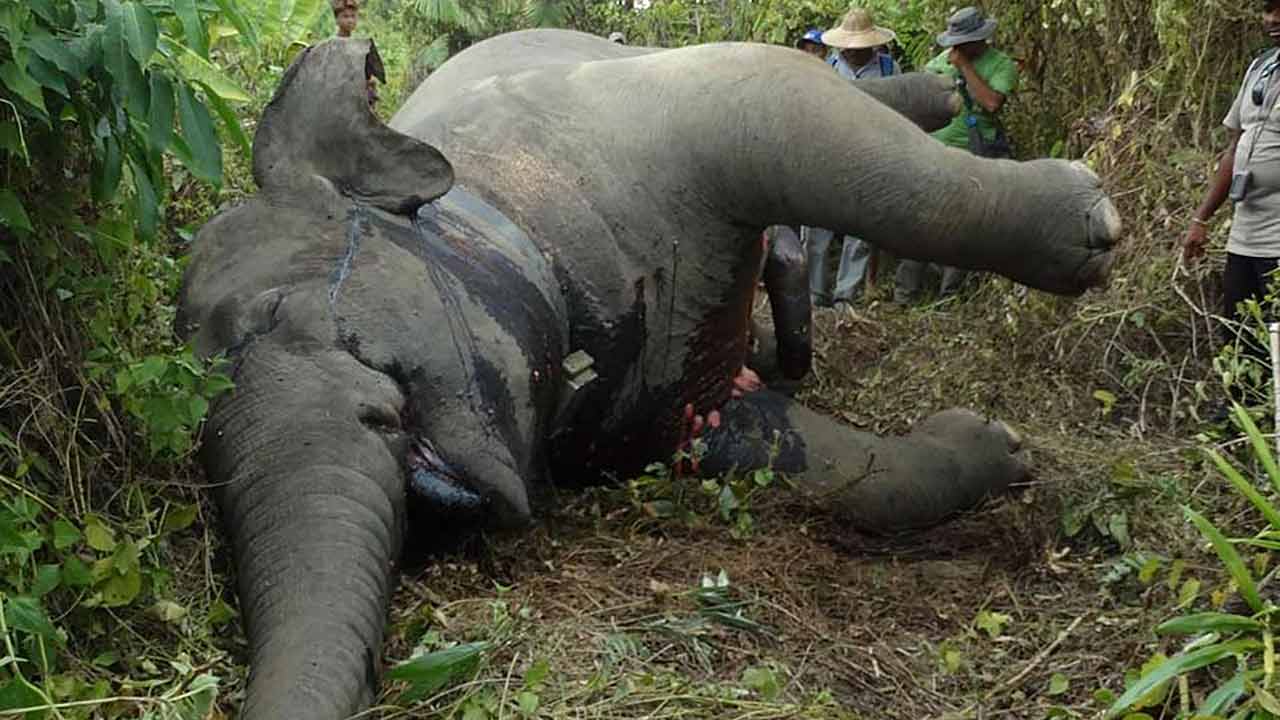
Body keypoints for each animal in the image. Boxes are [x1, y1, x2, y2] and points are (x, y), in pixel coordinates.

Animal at [177, 30, 1121, 720]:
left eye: (370, 383)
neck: (495, 206)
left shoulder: (648, 123)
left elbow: (794, 110)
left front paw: (1091, 223)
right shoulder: (653, 405)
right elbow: (820, 469)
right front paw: (999, 447)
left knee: (846, 98)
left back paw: (950, 103)